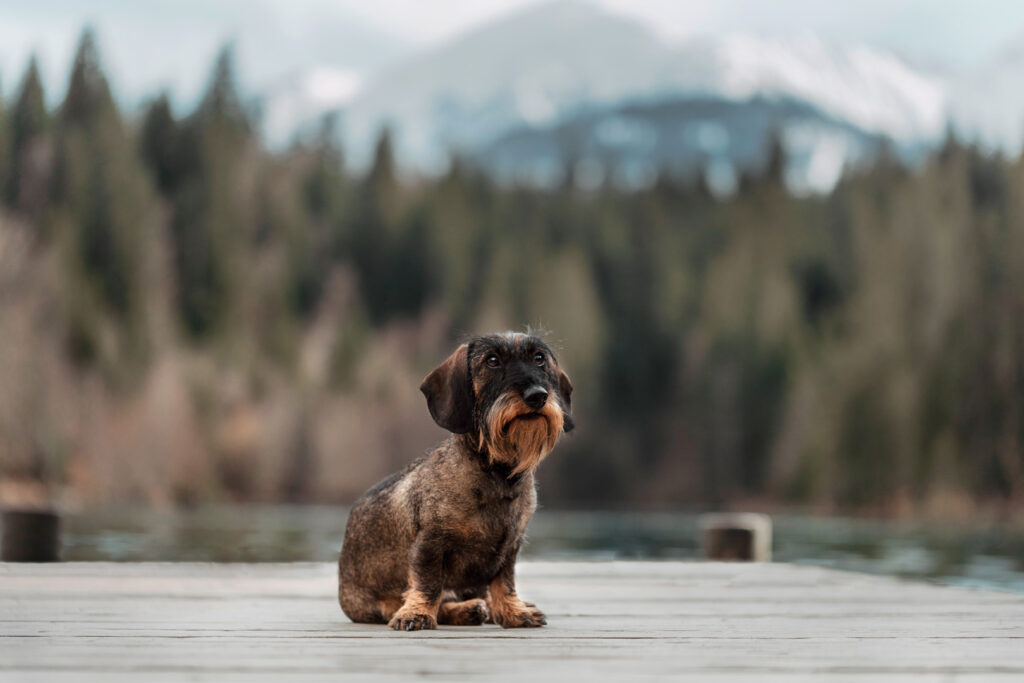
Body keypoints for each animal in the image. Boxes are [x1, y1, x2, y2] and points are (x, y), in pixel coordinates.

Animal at [337, 331, 573, 630]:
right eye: (492, 360)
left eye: (539, 358)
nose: (537, 396)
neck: (497, 474)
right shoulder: (430, 544)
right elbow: (428, 584)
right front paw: (417, 614)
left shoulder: (510, 548)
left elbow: (504, 582)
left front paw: (514, 611)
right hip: (379, 602)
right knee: (429, 601)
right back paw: (465, 609)